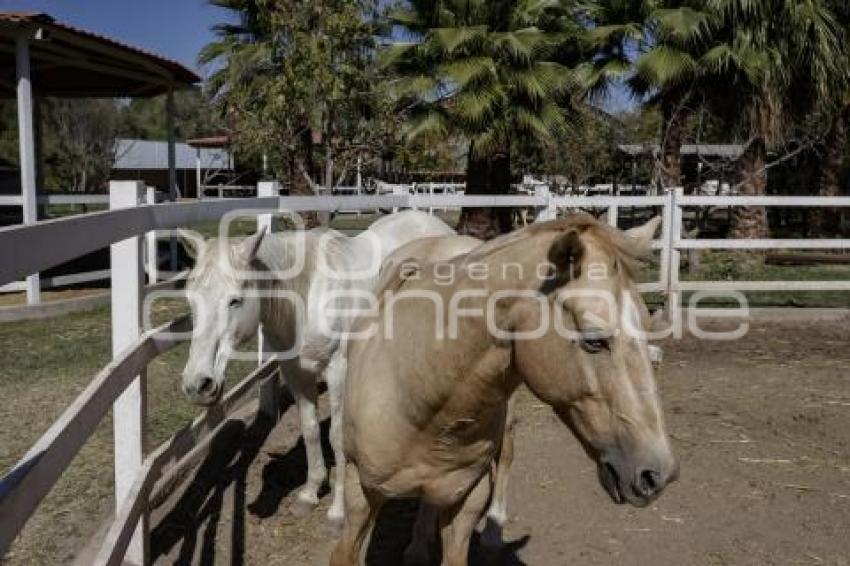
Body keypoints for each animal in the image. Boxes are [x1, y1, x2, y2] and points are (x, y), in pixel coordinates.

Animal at [181, 212, 458, 528]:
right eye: (190, 298)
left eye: (235, 300)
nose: (198, 384)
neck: (308, 295)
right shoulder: (297, 373)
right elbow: (311, 429)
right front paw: (310, 493)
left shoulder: (338, 372)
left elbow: (336, 437)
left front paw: (337, 512)